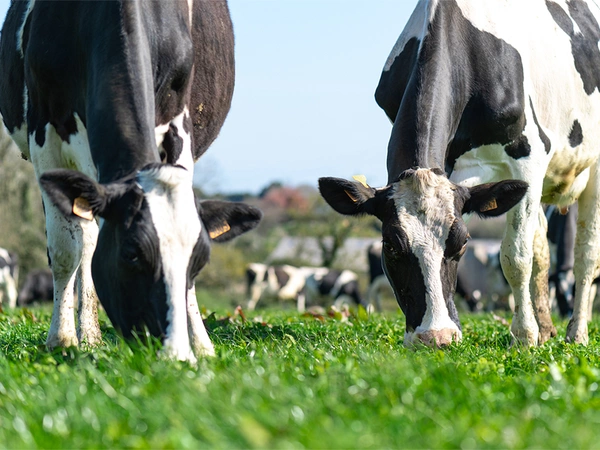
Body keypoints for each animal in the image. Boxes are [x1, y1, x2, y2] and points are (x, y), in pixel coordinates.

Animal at [0, 0, 262, 360]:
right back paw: (87, 334)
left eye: (201, 261)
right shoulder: (45, 135)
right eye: (131, 254)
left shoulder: (179, 126)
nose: (176, 354)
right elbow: (65, 250)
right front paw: (61, 339)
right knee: (86, 242)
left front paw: (199, 341)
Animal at [318, 0, 600, 348]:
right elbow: (533, 251)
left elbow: (516, 257)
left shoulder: (528, 157)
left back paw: (577, 332)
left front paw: (523, 336)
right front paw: (534, 331)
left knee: (587, 254)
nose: (435, 337)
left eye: (464, 242)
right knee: (542, 248)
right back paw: (547, 327)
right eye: (391, 245)